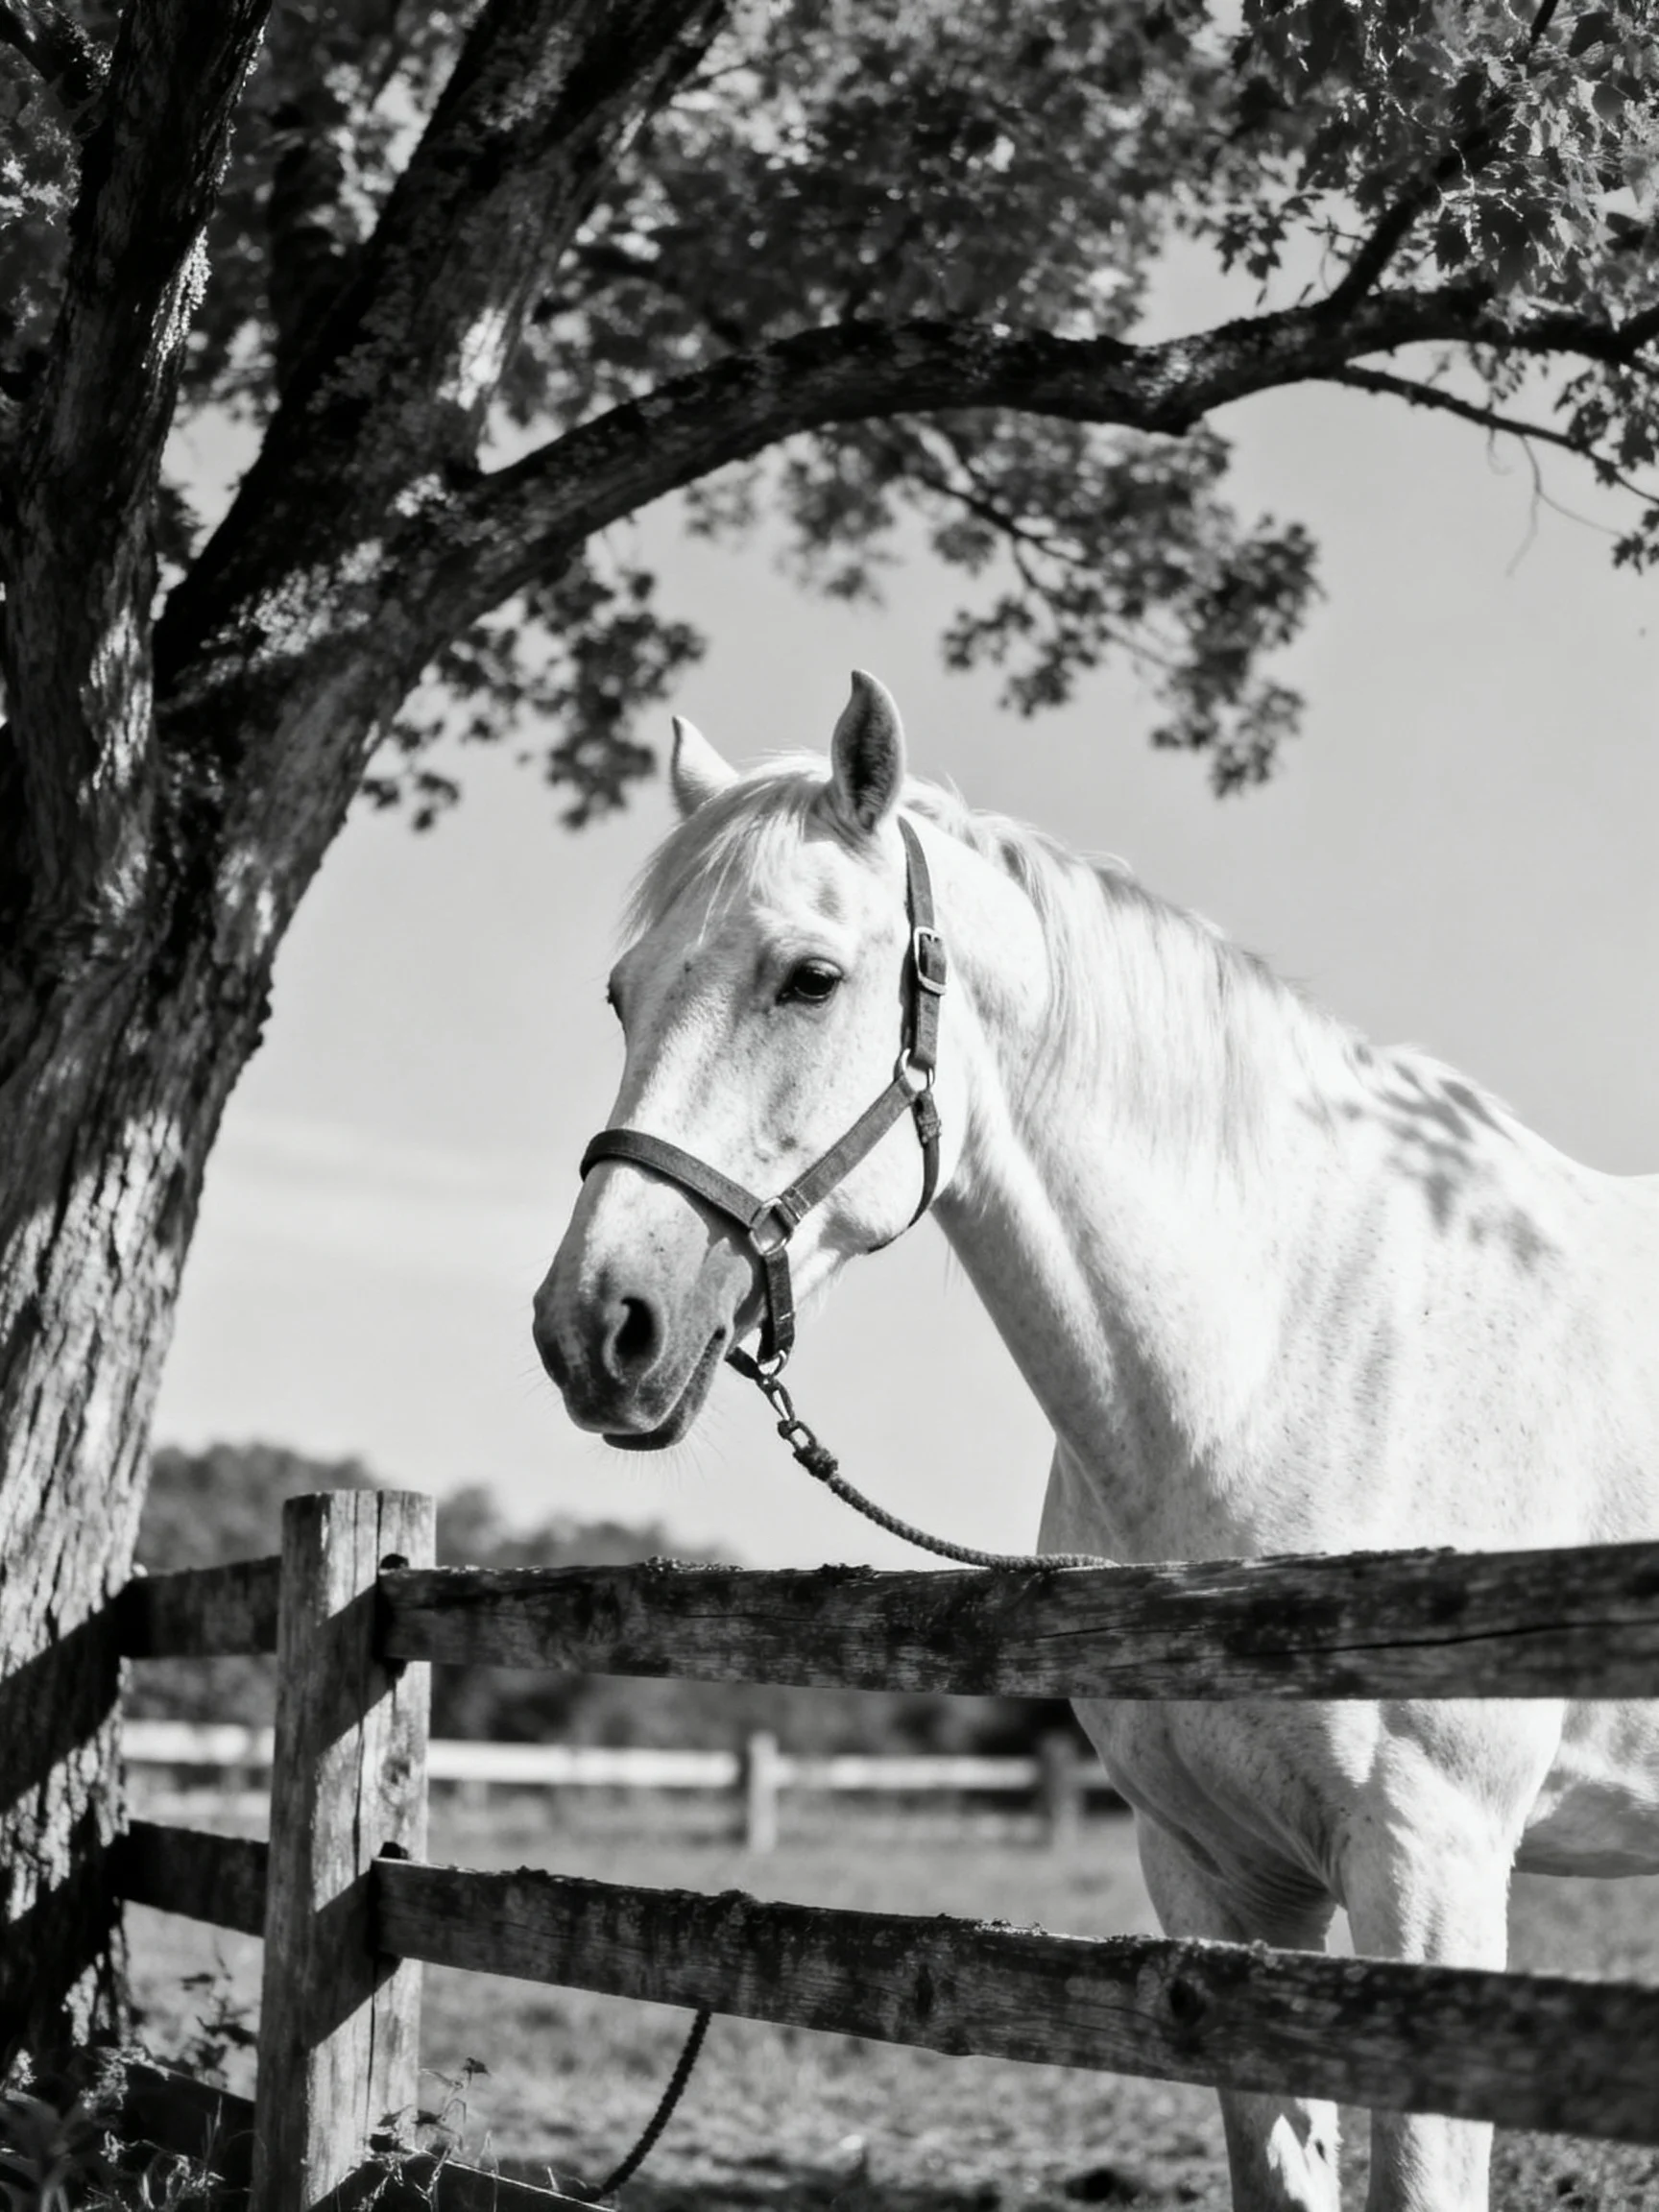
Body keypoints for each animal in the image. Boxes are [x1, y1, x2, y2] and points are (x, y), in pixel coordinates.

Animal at [533, 670, 1659, 2212]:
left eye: (809, 978)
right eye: (620, 993)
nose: (596, 1326)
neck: (1292, 1355)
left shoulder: (1435, 1872)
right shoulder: (1218, 1874)